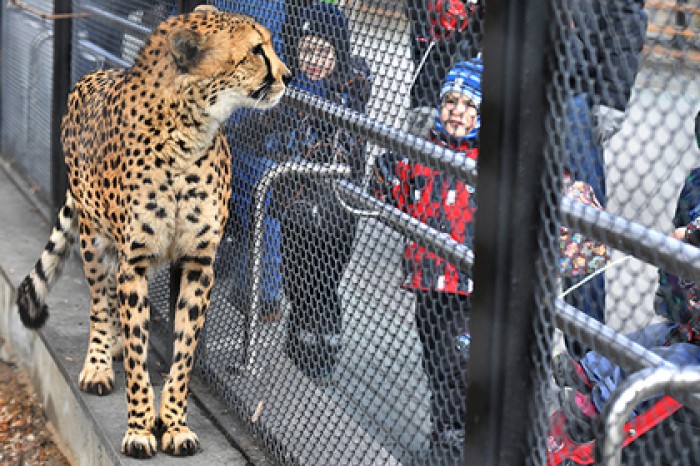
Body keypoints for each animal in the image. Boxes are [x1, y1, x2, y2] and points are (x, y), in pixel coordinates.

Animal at [16, 6, 290, 458]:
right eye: (256, 49)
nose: (287, 75)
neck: (188, 131)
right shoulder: (135, 261)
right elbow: (139, 353)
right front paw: (141, 428)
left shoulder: (198, 263)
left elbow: (184, 351)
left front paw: (175, 424)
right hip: (94, 240)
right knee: (101, 300)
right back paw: (99, 361)